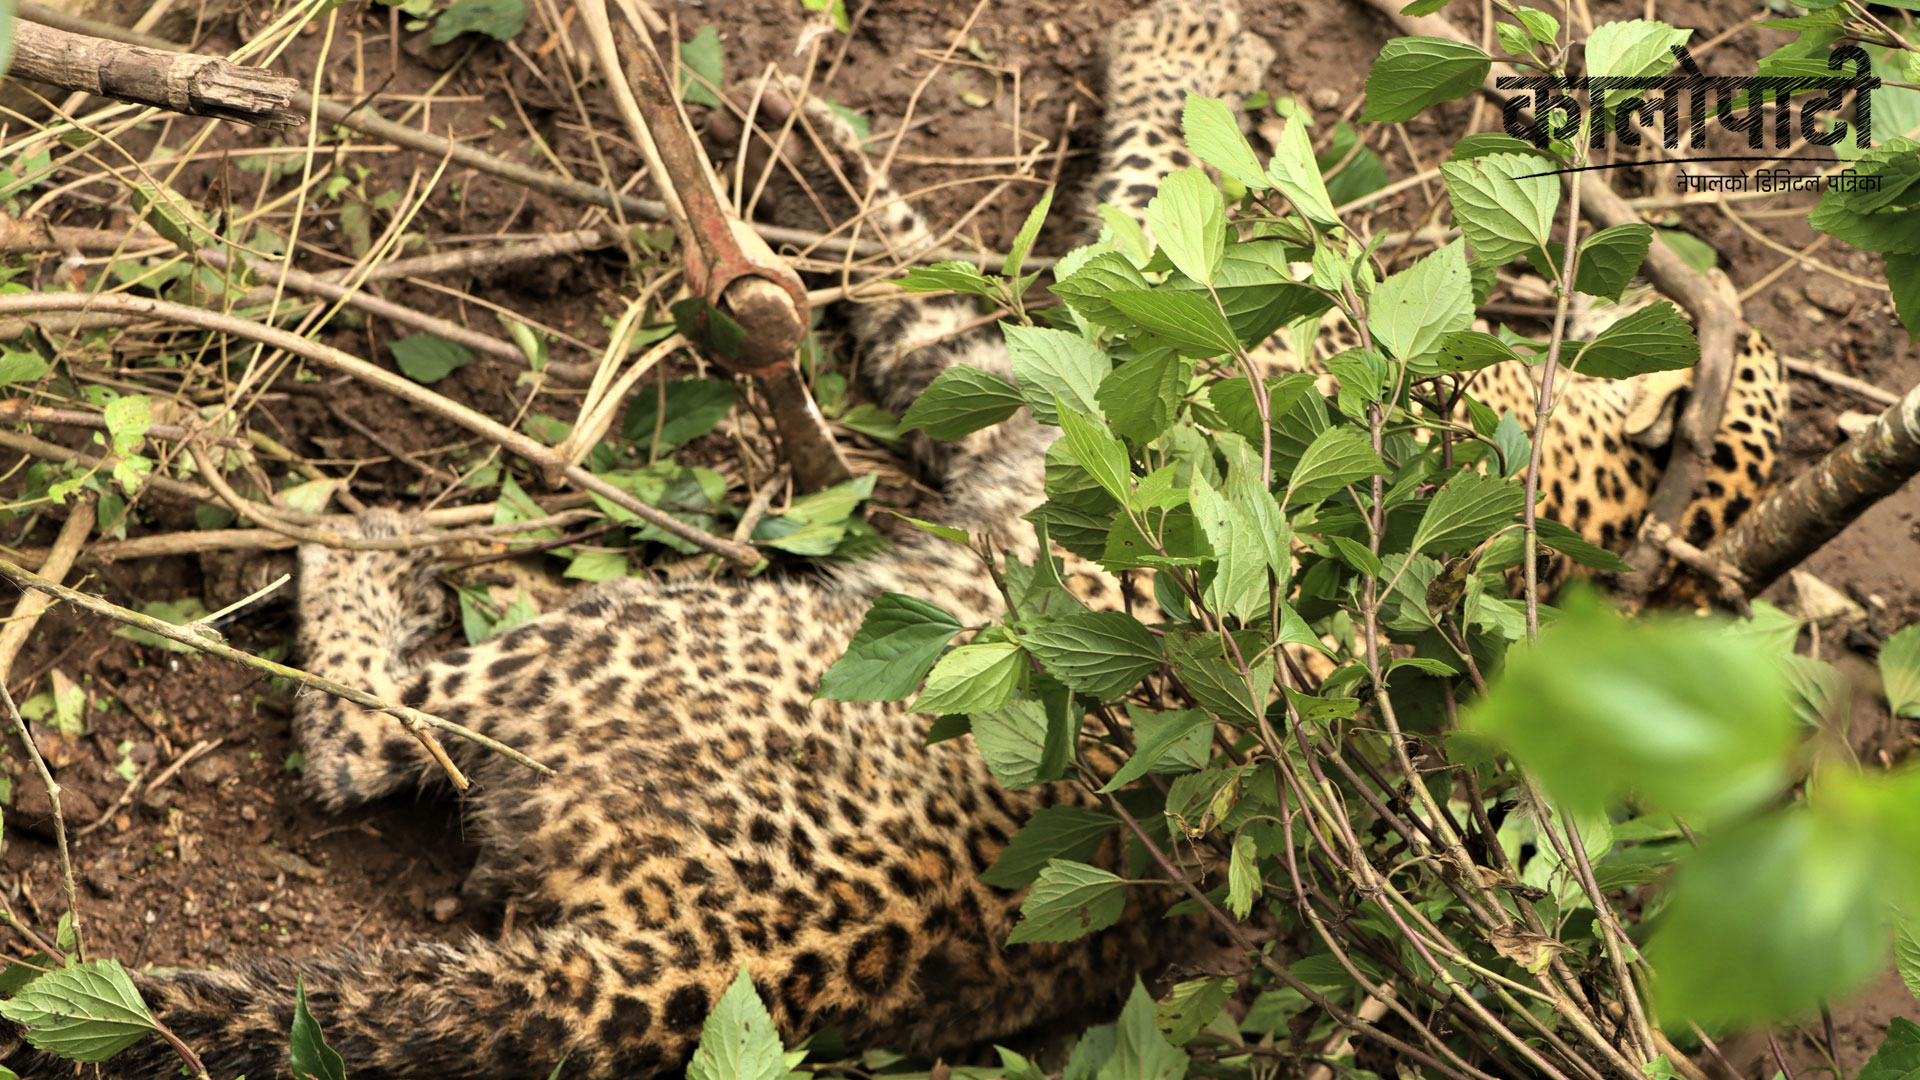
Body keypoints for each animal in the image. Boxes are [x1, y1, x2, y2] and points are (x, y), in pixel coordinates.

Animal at [7, 2, 1789, 1076]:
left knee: (369, 740)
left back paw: (355, 546)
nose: (1693, 269)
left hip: (627, 643)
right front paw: (827, 153)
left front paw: (1173, 36)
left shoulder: (1085, 339)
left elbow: (1127, 190)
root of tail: (699, 957)